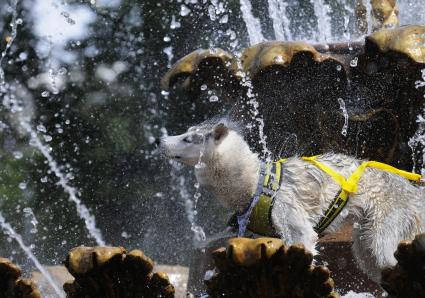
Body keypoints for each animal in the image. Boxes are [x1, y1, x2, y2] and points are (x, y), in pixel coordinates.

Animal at [160, 118, 424, 282]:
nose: (159, 141)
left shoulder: (295, 225)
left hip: (382, 235)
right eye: (186, 132)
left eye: (188, 139)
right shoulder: (248, 237)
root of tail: (412, 191)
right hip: (364, 246)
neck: (254, 182)